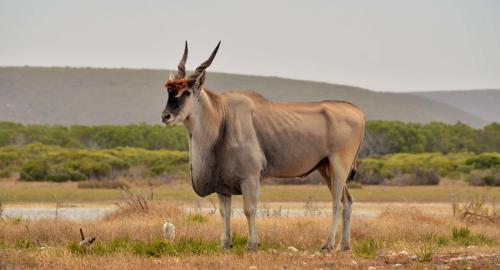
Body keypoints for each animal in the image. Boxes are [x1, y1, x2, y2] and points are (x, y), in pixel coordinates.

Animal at [162, 41, 366, 251]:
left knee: (337, 203)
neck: (222, 118)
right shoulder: (222, 186)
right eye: (169, 92)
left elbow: (249, 209)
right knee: (348, 201)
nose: (165, 116)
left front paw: (252, 244)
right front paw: (225, 244)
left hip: (338, 166)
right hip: (325, 168)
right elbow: (225, 212)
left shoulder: (251, 177)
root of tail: (358, 113)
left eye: (186, 92)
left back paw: (328, 244)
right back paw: (344, 246)